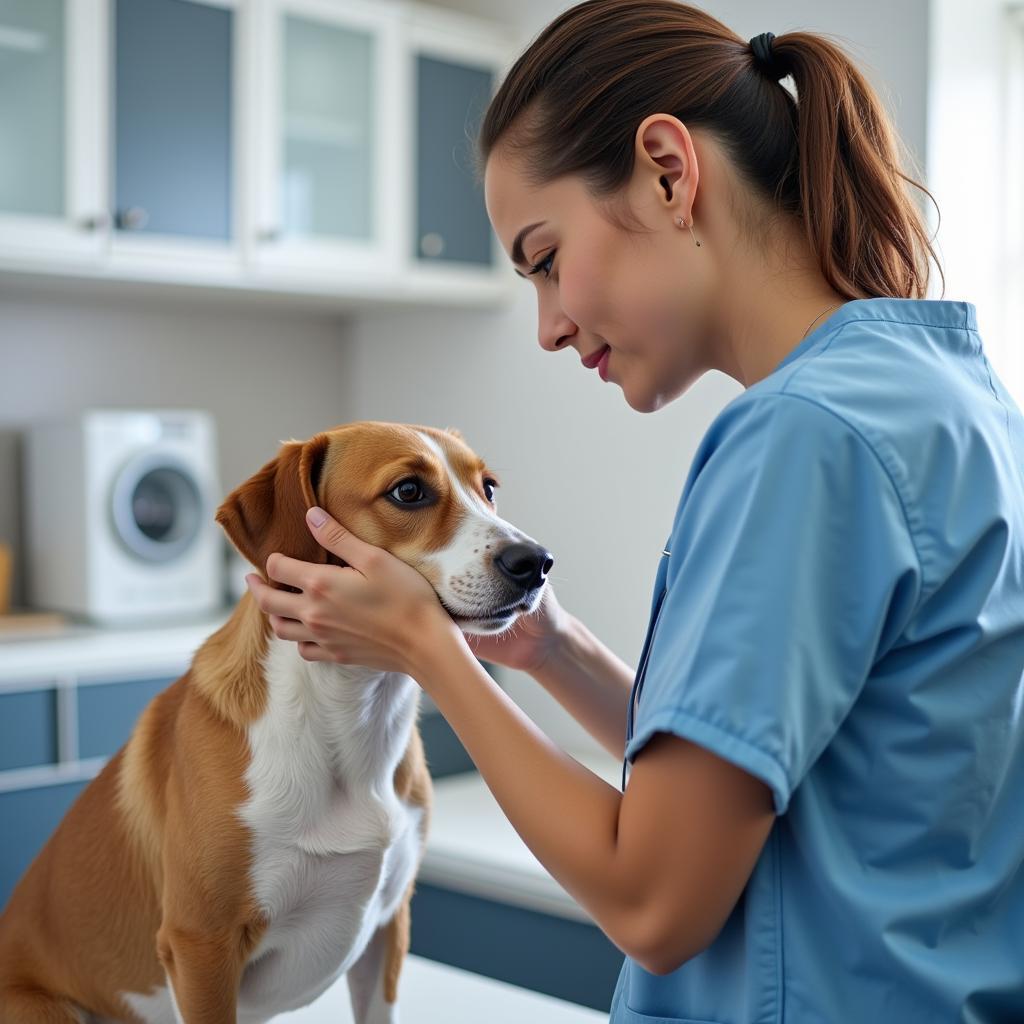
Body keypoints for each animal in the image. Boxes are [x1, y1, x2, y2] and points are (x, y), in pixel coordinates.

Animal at [0, 419, 552, 1019]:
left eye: (488, 488)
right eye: (408, 491)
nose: (536, 562)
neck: (352, 711)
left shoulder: (387, 927)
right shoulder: (201, 945)